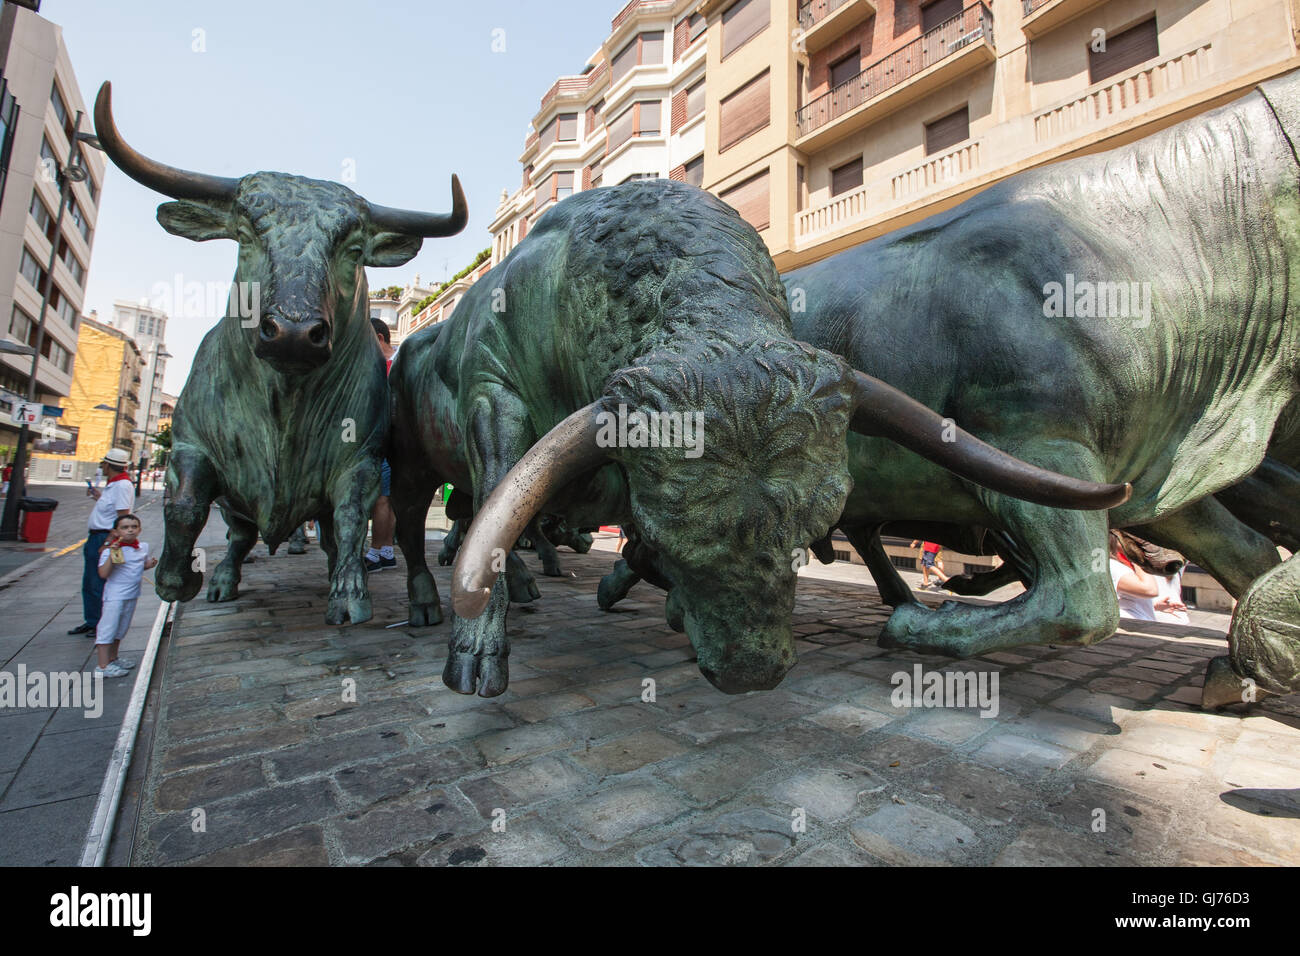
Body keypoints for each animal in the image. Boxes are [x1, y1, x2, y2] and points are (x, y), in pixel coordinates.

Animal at [92, 85, 467, 629]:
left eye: (353, 248)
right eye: (246, 234)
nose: (292, 332)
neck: (285, 403)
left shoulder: (361, 458)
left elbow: (351, 517)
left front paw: (349, 593)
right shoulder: (190, 444)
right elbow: (183, 507)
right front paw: (177, 580)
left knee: (327, 534)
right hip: (235, 505)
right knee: (238, 535)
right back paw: (222, 579)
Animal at [439, 178, 1128, 697]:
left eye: (810, 530)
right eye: (663, 535)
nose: (752, 673)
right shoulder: (494, 392)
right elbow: (496, 513)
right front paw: (475, 650)